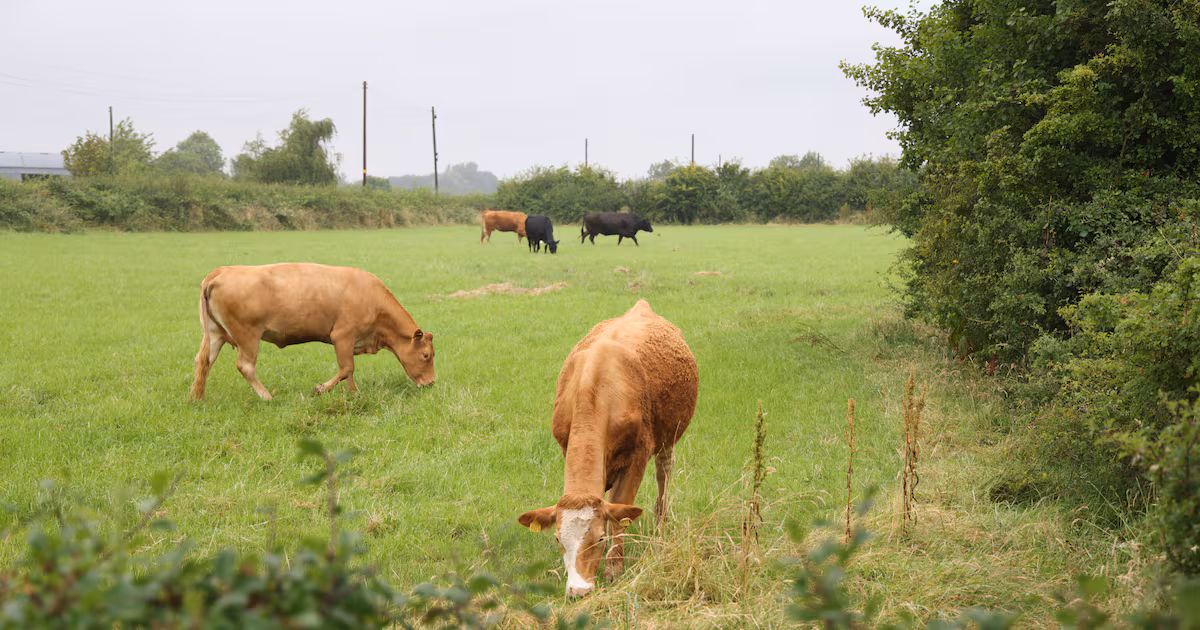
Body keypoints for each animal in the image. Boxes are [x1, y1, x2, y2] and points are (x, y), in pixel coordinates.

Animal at [189, 263, 435, 401]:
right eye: (426, 355)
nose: (431, 383)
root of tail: (221, 272)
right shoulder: (342, 336)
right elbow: (347, 368)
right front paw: (321, 389)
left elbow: (349, 371)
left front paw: (353, 394)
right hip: (248, 336)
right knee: (245, 366)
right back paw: (266, 397)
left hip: (215, 333)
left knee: (203, 361)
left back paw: (197, 397)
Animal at [518, 299, 698, 598]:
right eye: (557, 539)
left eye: (599, 537)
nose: (578, 591)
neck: (596, 388)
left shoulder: (638, 455)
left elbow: (619, 512)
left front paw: (614, 567)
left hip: (668, 439)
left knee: (663, 477)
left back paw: (661, 527)